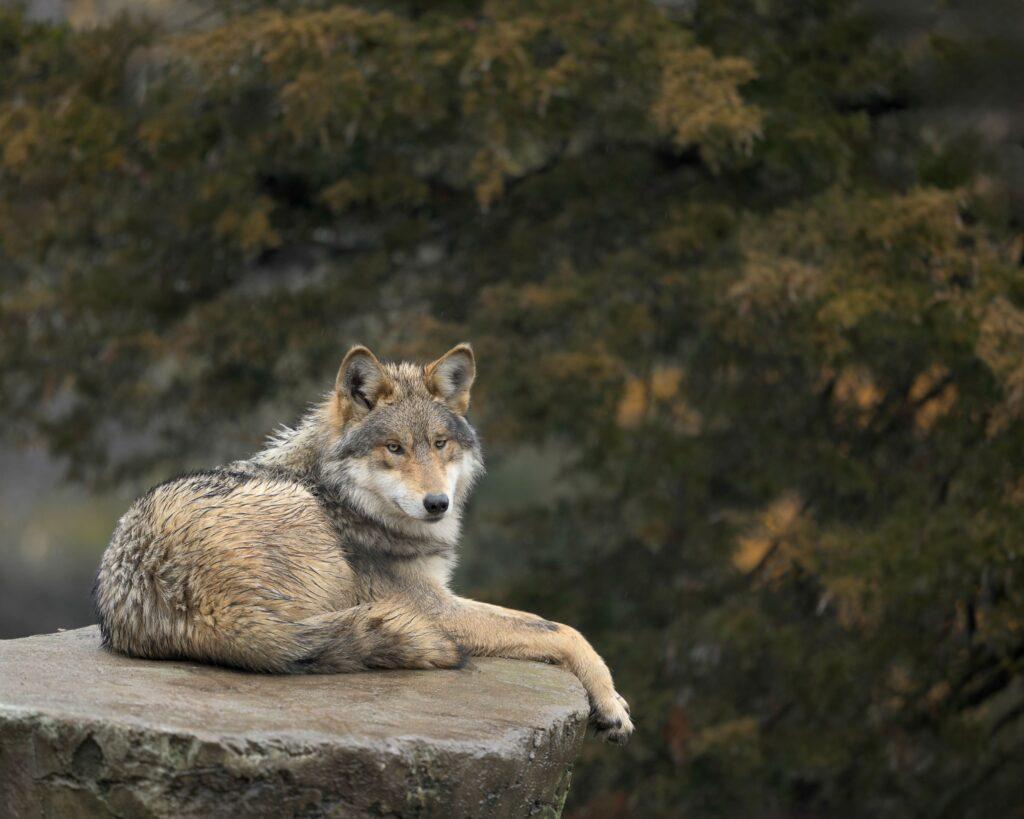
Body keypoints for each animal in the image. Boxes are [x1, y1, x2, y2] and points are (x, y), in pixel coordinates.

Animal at [94, 344, 632, 743]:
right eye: (394, 448)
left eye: (439, 444)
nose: (437, 503)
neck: (339, 494)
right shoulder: (434, 606)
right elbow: (562, 630)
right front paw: (611, 705)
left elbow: (554, 627)